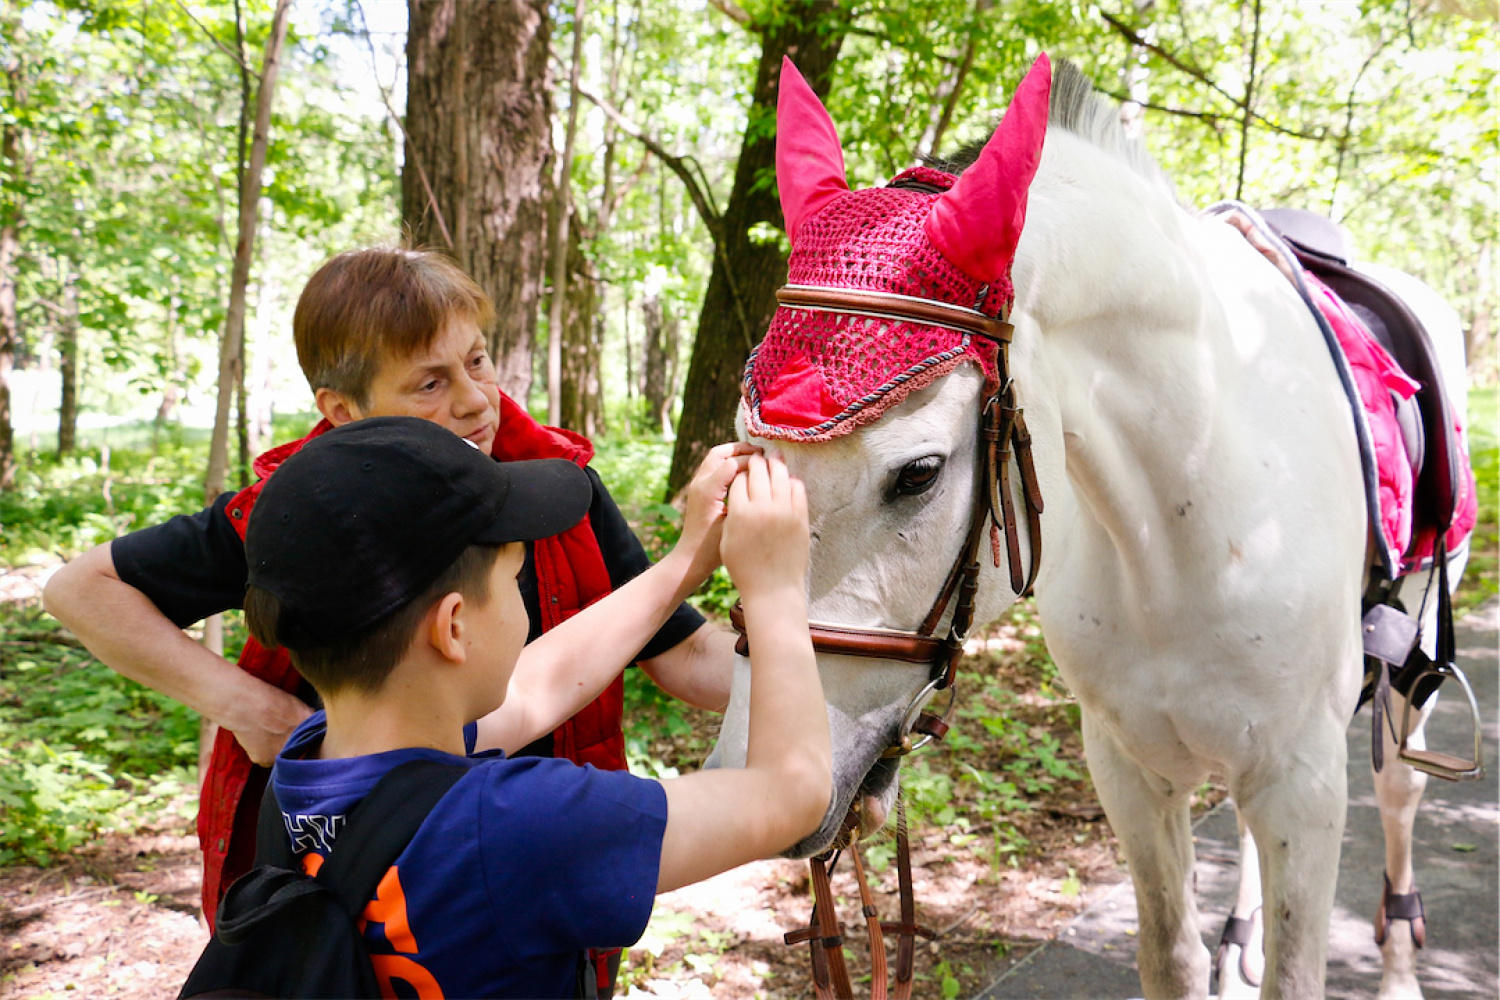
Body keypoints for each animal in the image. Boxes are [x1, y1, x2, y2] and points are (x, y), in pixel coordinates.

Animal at [708, 56, 1470, 1000]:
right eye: (745, 452)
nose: (753, 777)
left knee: (1398, 791)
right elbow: (1170, 955)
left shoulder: (1304, 780)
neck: (1186, 525)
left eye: (919, 472)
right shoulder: (1128, 769)